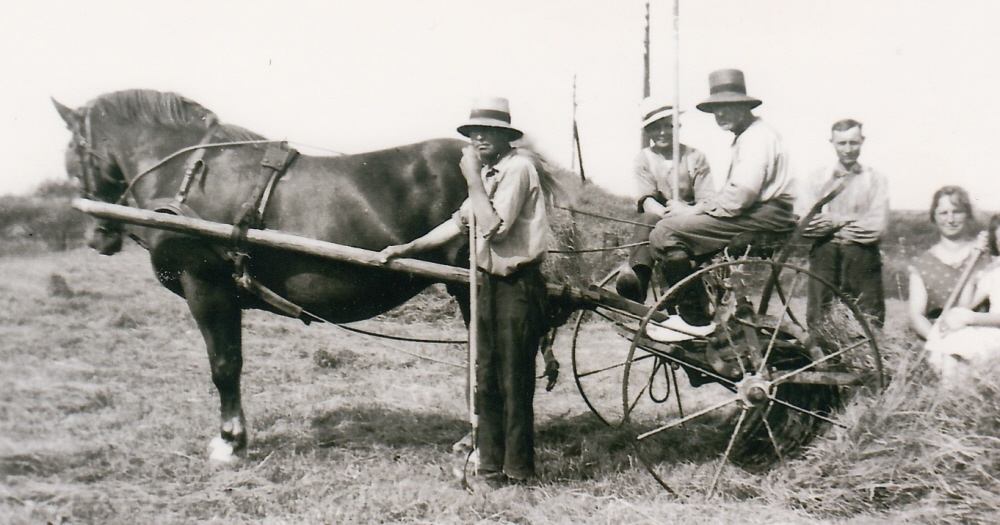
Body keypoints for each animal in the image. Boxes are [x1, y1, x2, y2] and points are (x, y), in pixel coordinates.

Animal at [51, 90, 476, 462]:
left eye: (74, 154)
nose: (96, 238)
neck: (186, 179)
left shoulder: (206, 286)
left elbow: (224, 364)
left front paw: (229, 442)